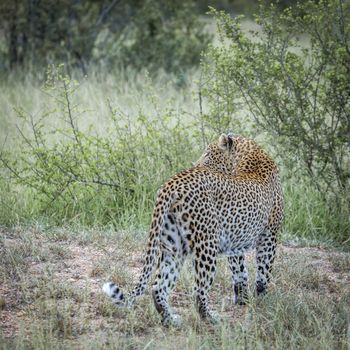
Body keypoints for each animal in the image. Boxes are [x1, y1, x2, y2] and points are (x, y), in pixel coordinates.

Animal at [102, 133, 284, 326]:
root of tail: (171, 184)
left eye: (207, 155)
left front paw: (244, 299)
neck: (248, 156)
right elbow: (263, 270)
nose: (196, 164)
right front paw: (261, 299)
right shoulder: (270, 234)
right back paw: (211, 318)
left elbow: (240, 271)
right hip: (207, 243)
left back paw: (170, 320)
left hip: (173, 245)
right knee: (198, 290)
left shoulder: (237, 241)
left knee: (159, 286)